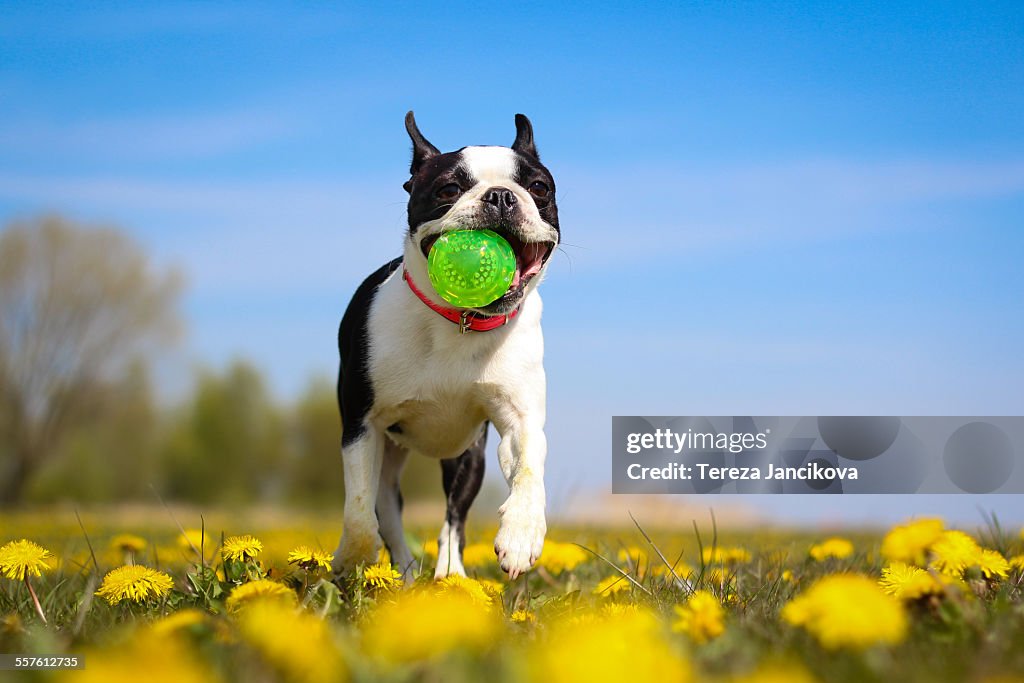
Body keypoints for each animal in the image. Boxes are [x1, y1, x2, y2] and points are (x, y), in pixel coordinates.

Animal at [331, 109, 561, 581]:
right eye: (448, 189)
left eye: (539, 188)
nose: (500, 196)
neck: (461, 321)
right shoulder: (360, 426)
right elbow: (359, 509)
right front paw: (352, 562)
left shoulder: (519, 420)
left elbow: (529, 467)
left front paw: (521, 534)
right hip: (388, 452)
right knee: (387, 509)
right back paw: (402, 575)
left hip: (467, 456)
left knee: (453, 517)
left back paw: (450, 577)